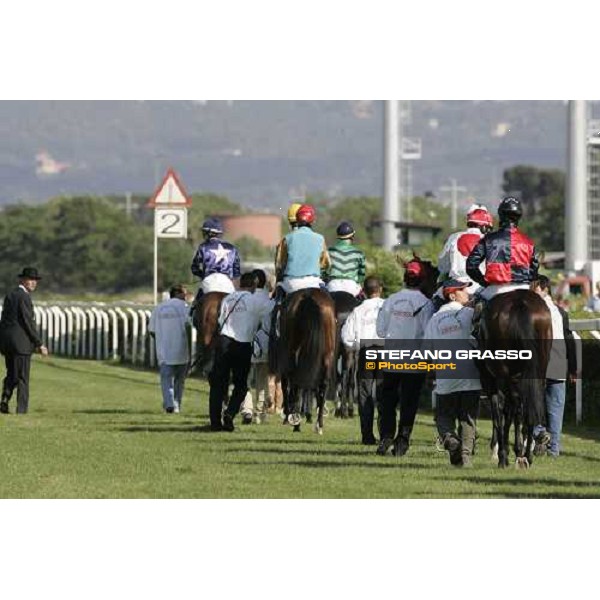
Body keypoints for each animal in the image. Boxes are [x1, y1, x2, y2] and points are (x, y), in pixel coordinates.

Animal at [274, 288, 338, 434]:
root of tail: (308, 296)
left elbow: (286, 384)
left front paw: (288, 416)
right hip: (327, 354)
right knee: (322, 384)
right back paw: (318, 424)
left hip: (293, 351)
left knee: (295, 381)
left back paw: (296, 422)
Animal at [480, 290, 552, 468]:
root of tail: (521, 303)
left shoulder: (489, 378)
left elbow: (499, 411)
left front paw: (501, 452)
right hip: (539, 369)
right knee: (529, 406)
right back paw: (527, 456)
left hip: (503, 373)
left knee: (510, 407)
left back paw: (512, 454)